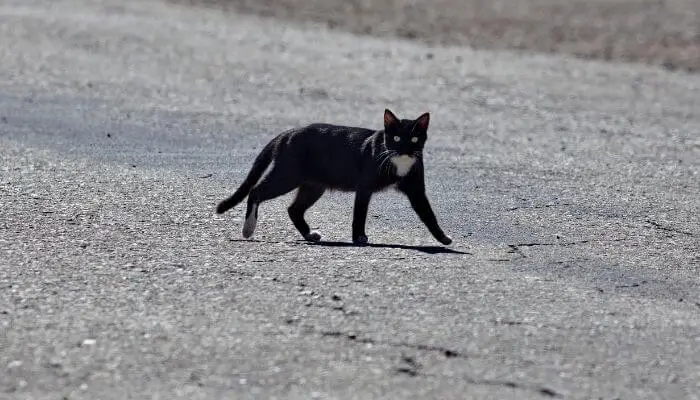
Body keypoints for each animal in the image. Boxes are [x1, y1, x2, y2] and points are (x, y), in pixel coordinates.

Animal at [216, 109, 452, 247]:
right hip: (288, 175)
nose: (404, 149)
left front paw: (442, 238)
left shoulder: (416, 189)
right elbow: (359, 214)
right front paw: (359, 238)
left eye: (414, 139)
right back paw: (248, 229)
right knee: (256, 191)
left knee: (294, 209)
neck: (399, 162)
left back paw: (310, 235)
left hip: (313, 185)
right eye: (395, 138)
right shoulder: (365, 186)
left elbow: (428, 214)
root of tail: (288, 132)